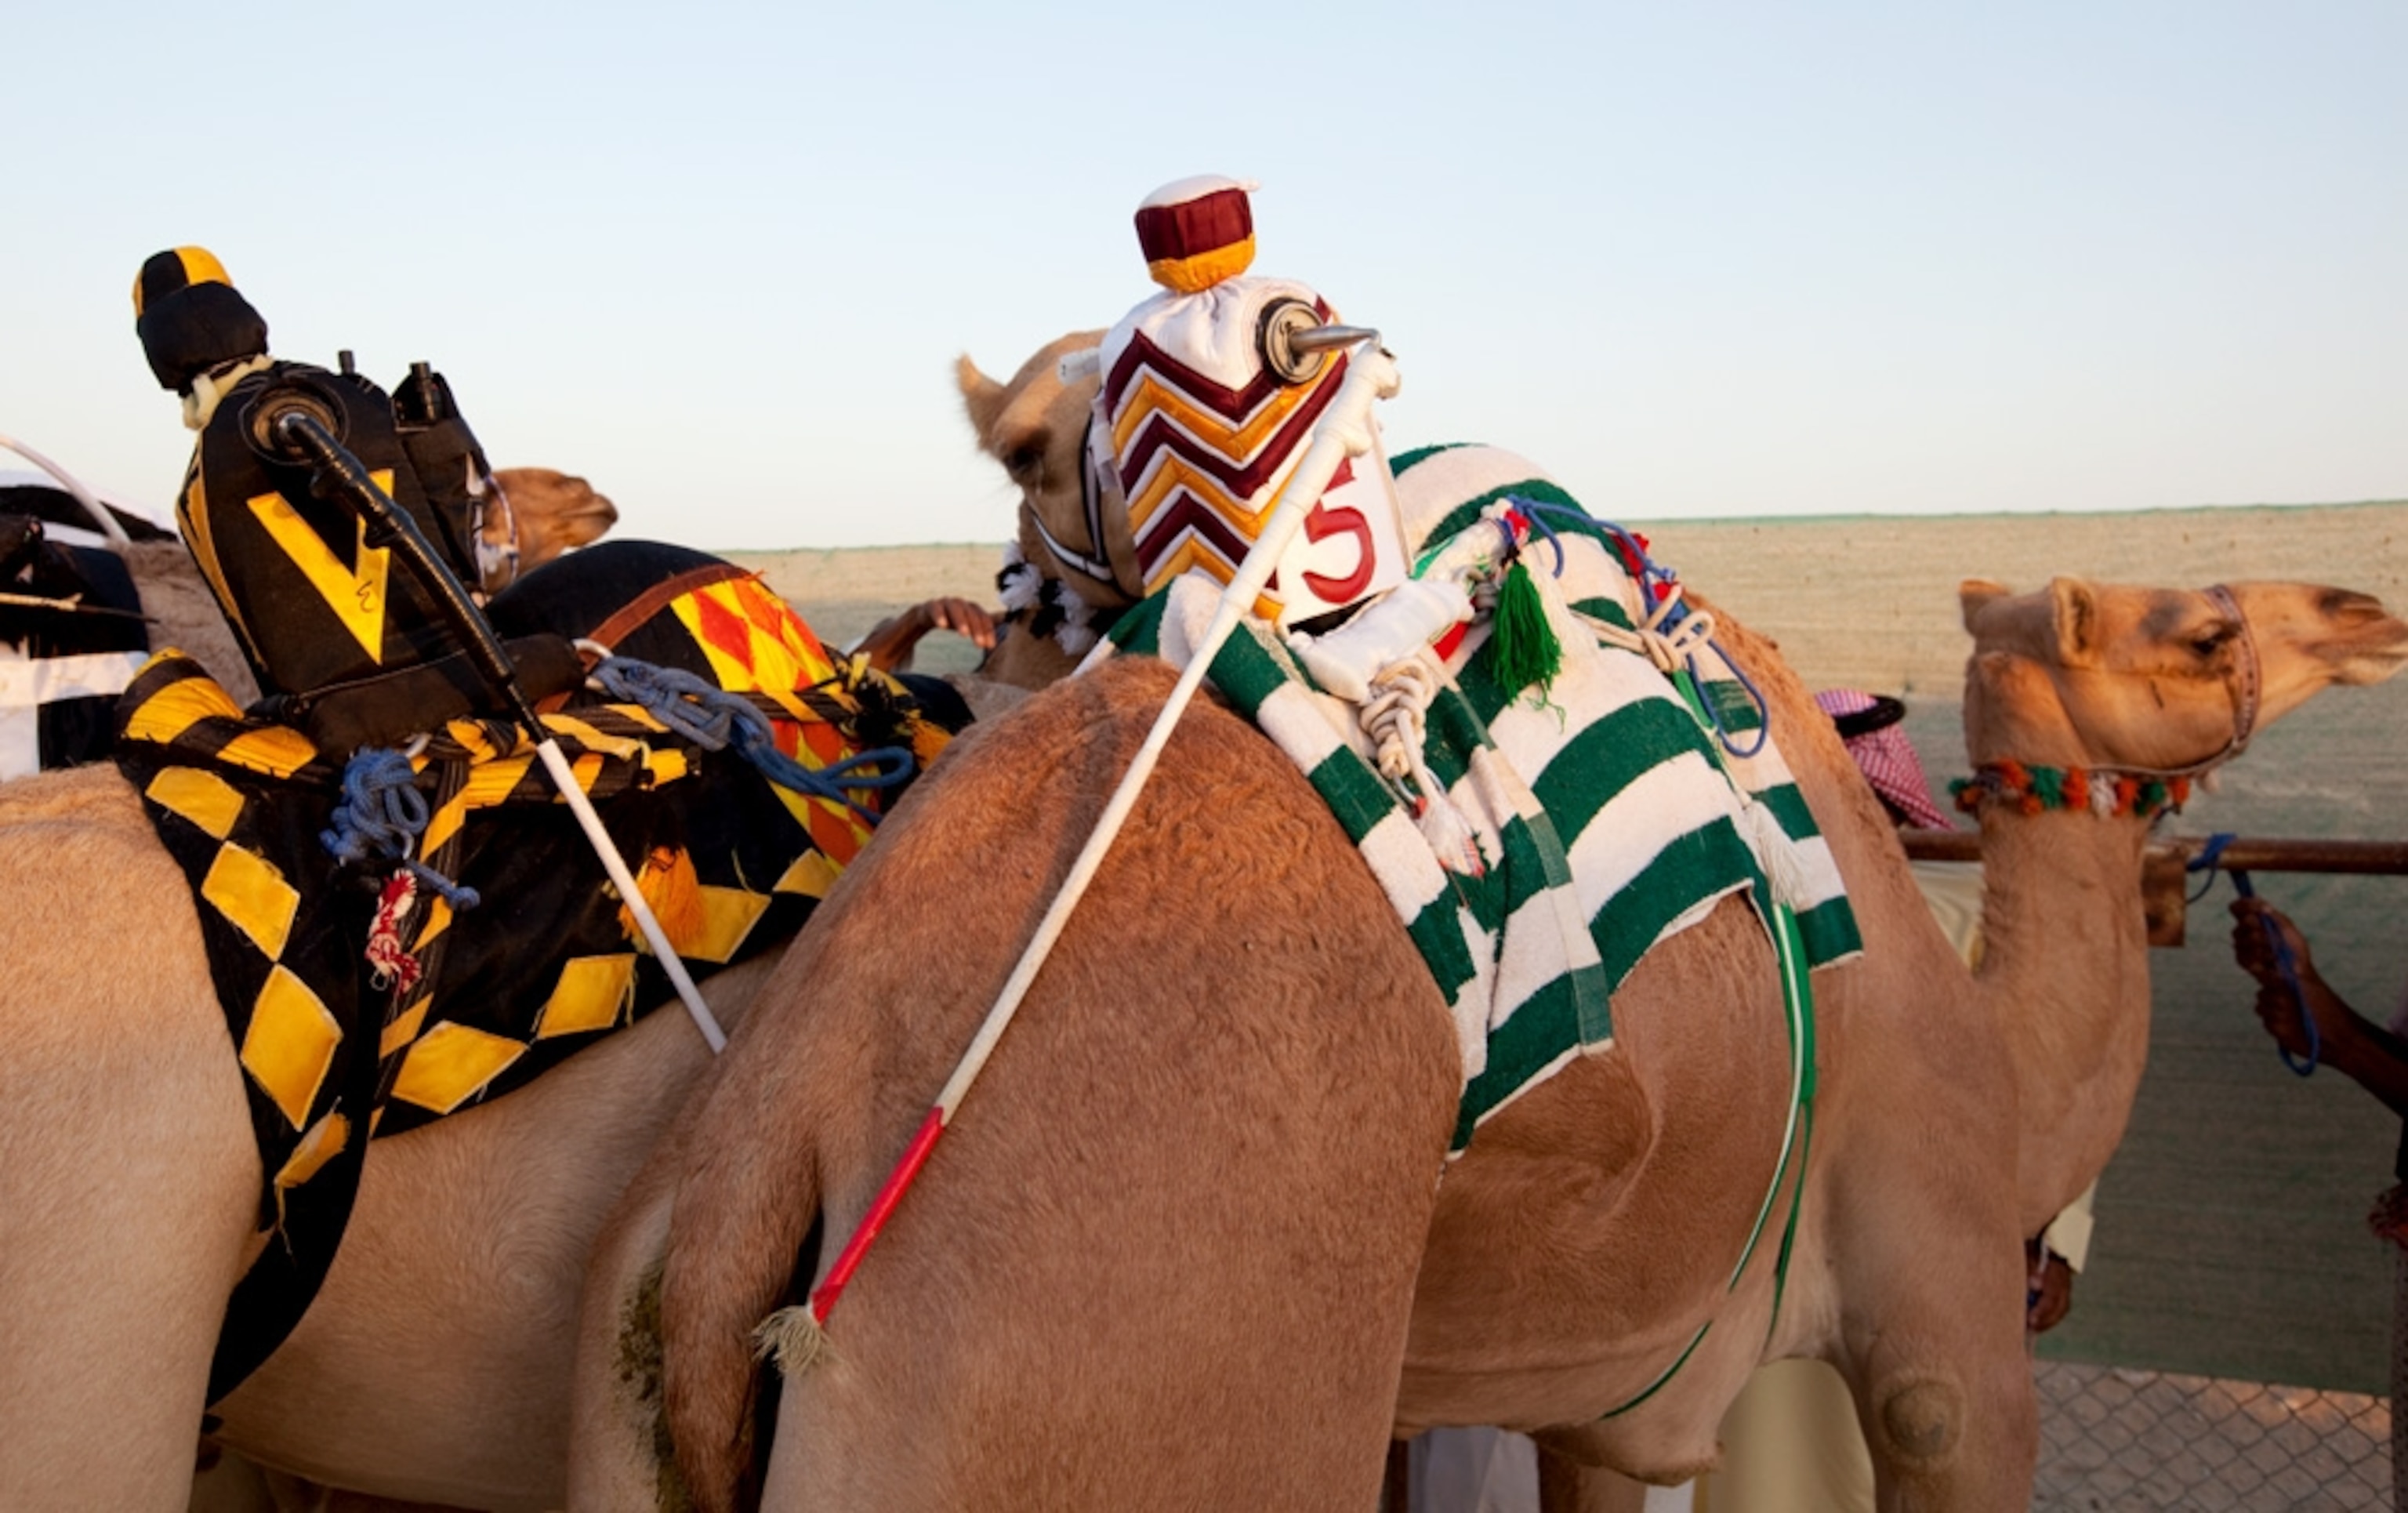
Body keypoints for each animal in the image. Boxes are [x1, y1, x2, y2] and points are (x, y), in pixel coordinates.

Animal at [590, 340, 2408, 1511]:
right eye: (2202, 630)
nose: (2367, 605)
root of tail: (797, 1106)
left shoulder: (1610, 1385)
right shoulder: (1945, 1317)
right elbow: (1947, 1406)